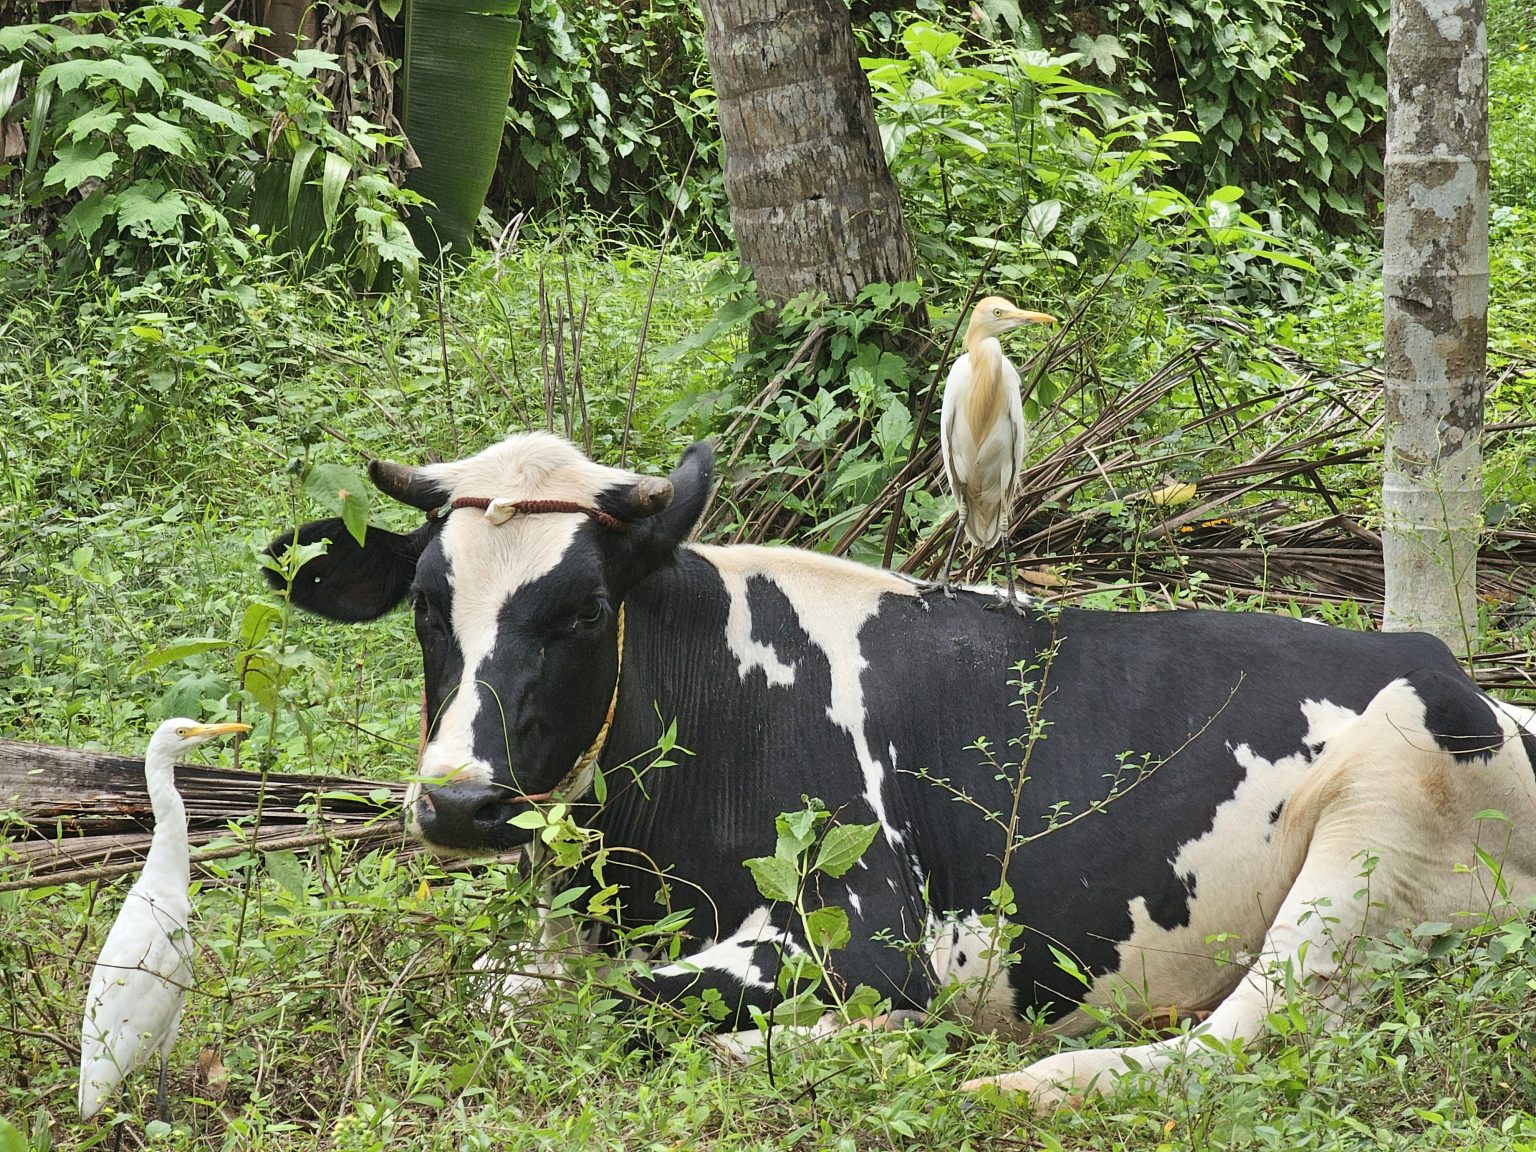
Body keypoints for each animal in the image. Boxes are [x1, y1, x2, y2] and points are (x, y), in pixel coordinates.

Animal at [266, 431, 1536, 1106]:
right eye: (427, 607)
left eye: (580, 611)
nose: (459, 802)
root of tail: (1476, 684)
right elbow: (502, 991)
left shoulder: (862, 930)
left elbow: (615, 1007)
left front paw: (864, 1040)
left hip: (1377, 829)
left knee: (1238, 1033)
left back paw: (999, 1077)